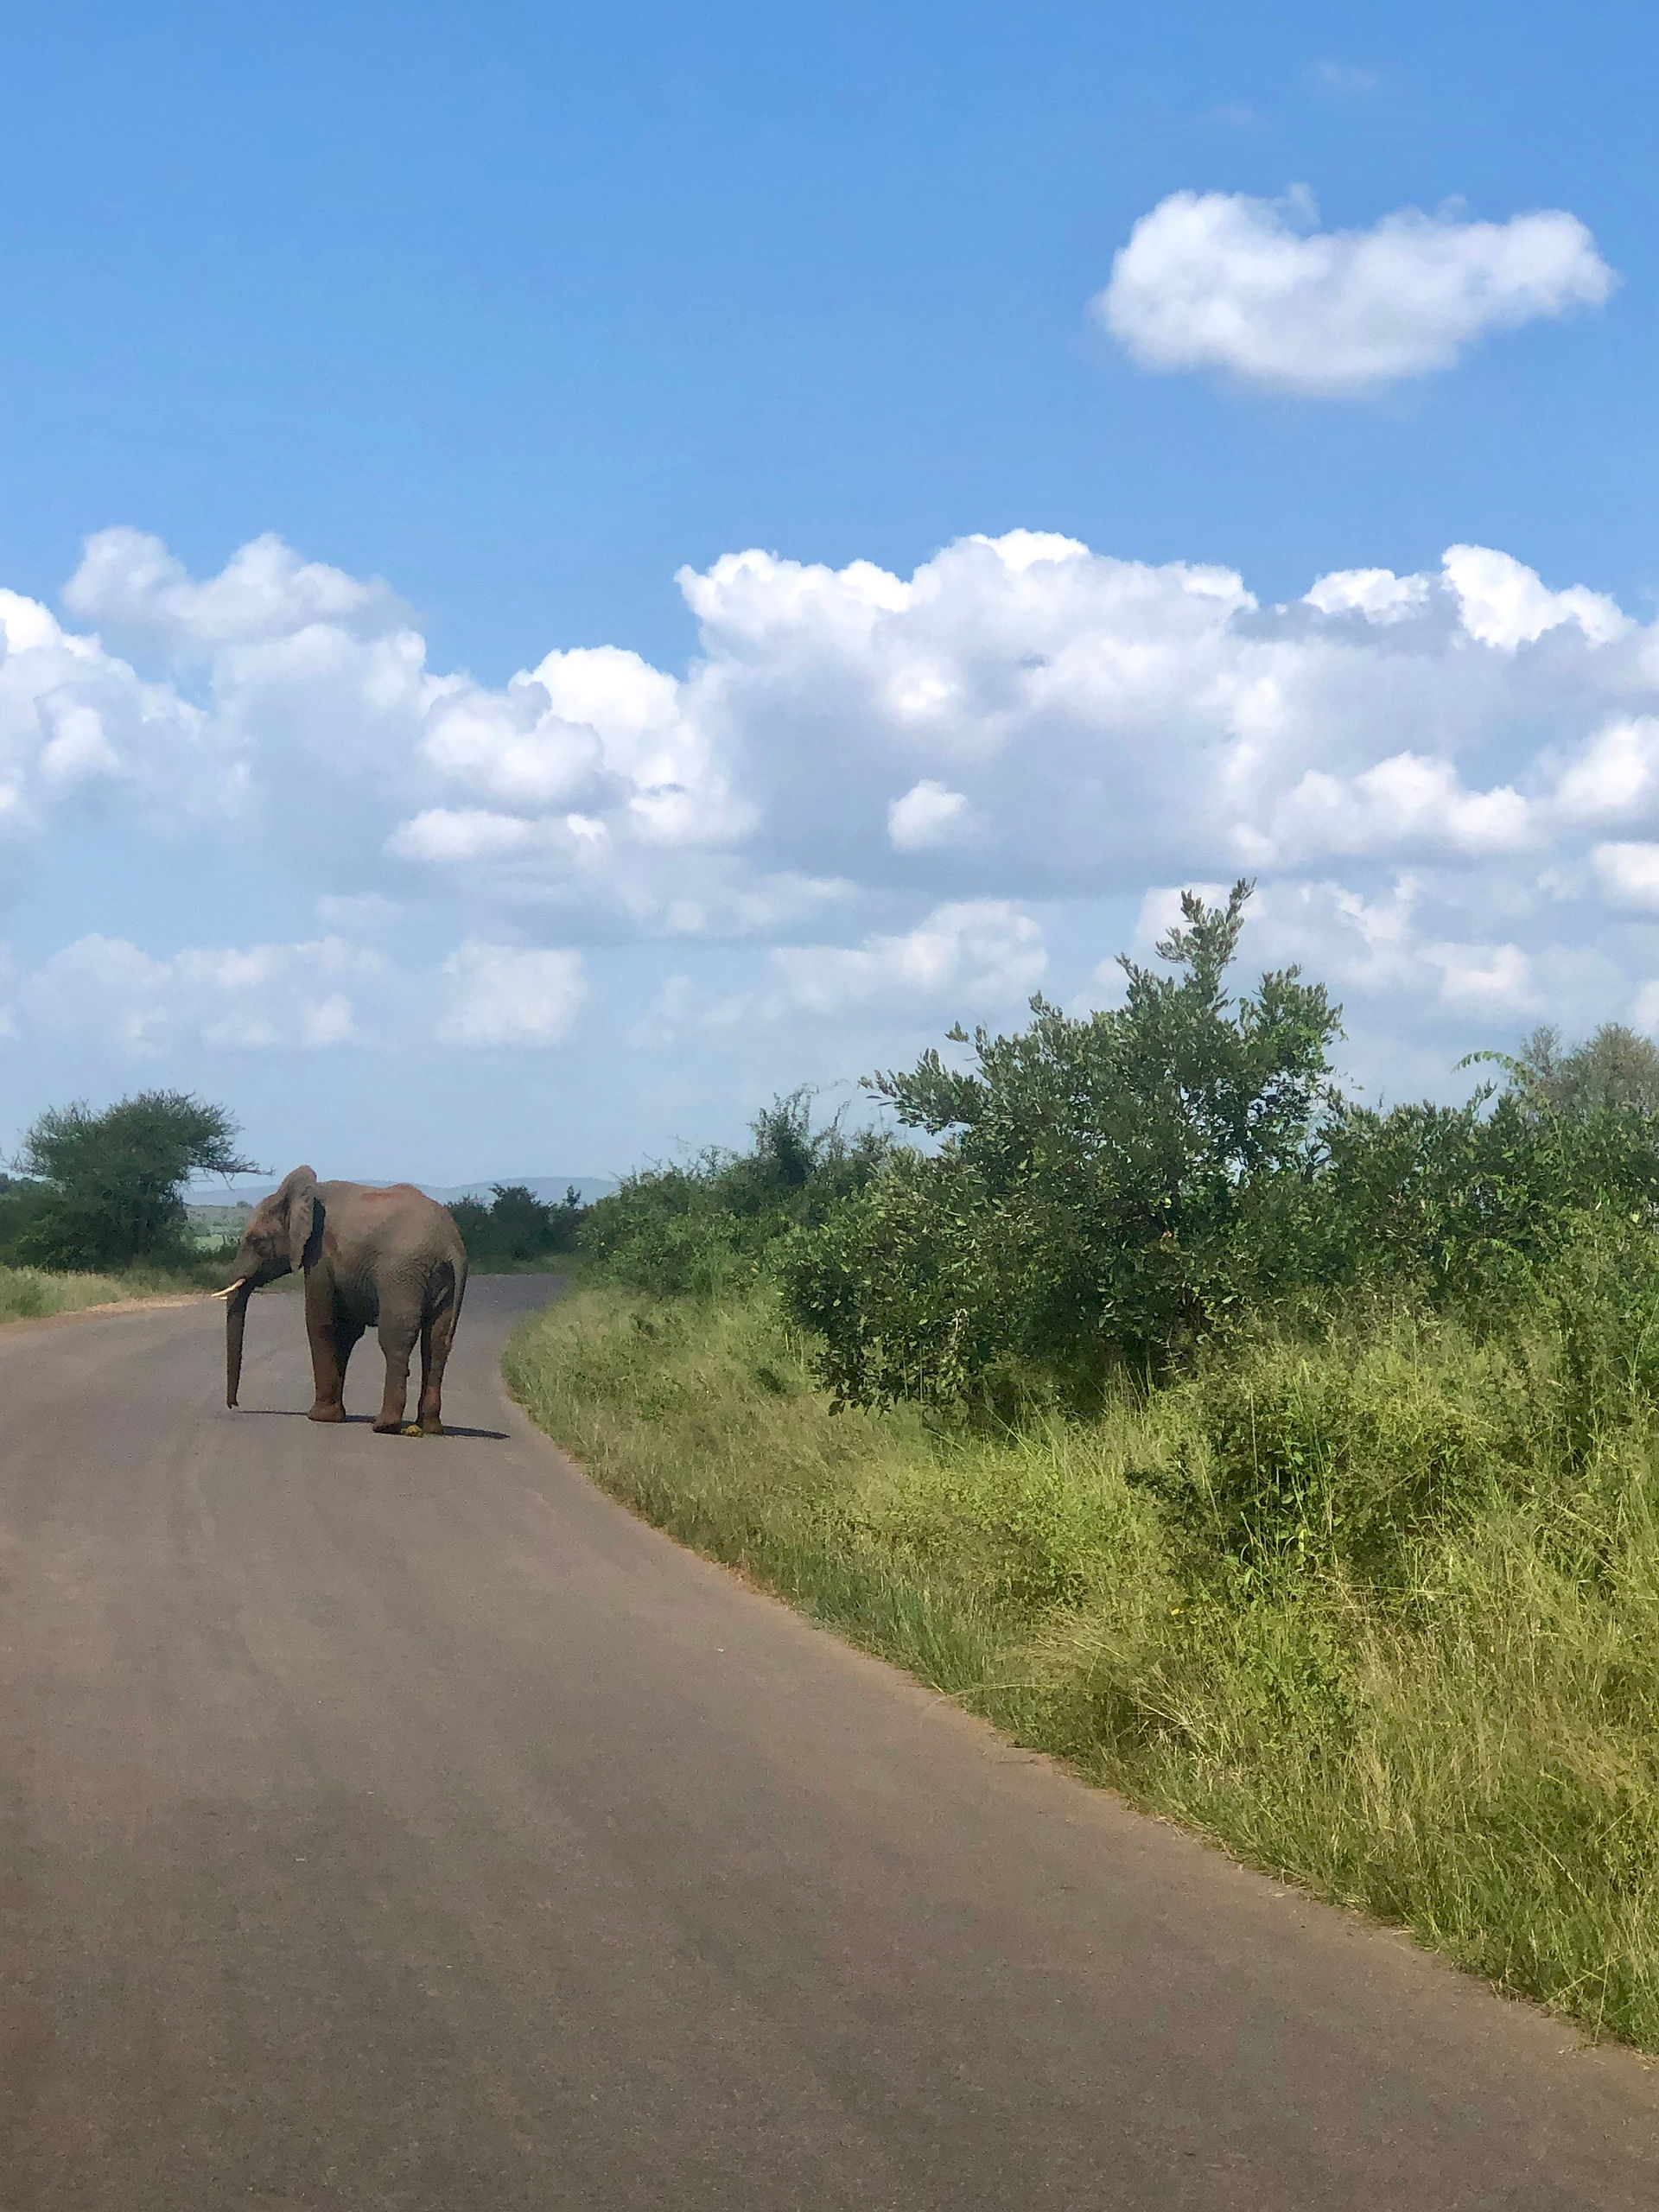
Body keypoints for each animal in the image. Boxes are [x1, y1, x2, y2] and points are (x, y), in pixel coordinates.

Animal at [217, 1167, 468, 1434]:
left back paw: (385, 1425)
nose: (235, 1405)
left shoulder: (320, 1255)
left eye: (256, 1241)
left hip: (401, 1274)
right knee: (436, 1342)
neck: (305, 1196)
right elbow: (346, 1331)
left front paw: (319, 1417)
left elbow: (321, 1322)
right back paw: (430, 1427)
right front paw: (334, 1415)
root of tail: (450, 1244)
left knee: (396, 1339)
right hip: (445, 1281)